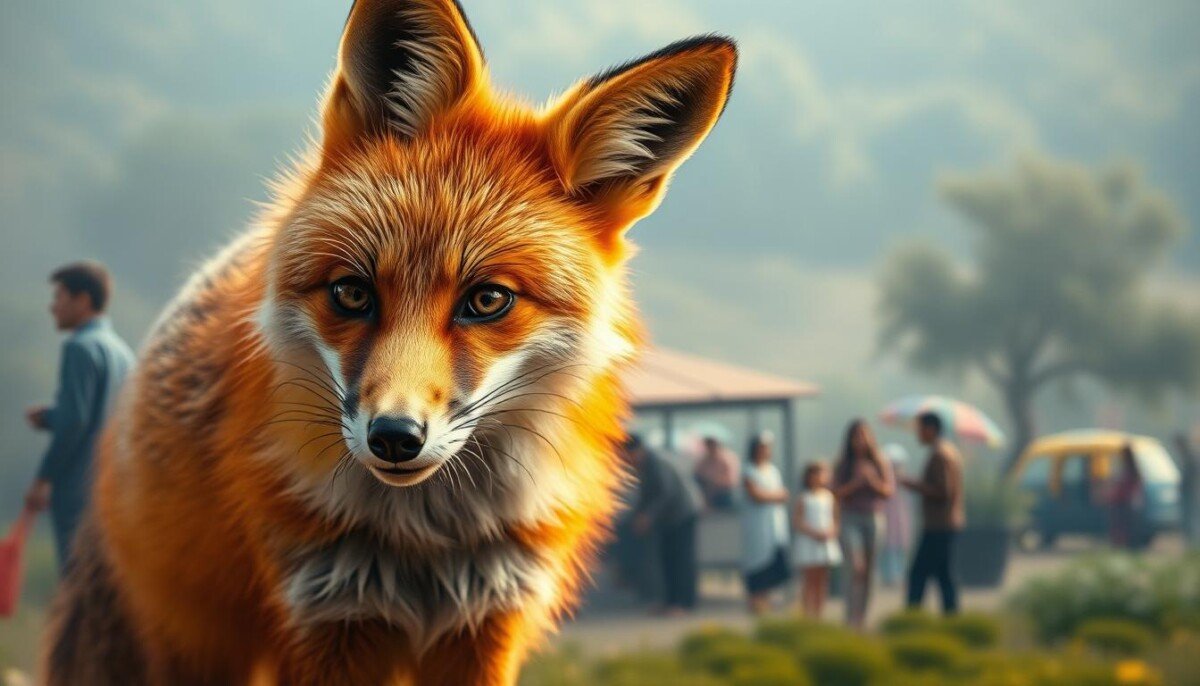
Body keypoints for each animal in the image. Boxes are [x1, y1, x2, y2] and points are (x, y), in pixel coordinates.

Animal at [41, 1, 735, 684]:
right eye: (352, 292)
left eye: (488, 300)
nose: (395, 437)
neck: (425, 546)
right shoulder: (328, 616)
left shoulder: (486, 623)